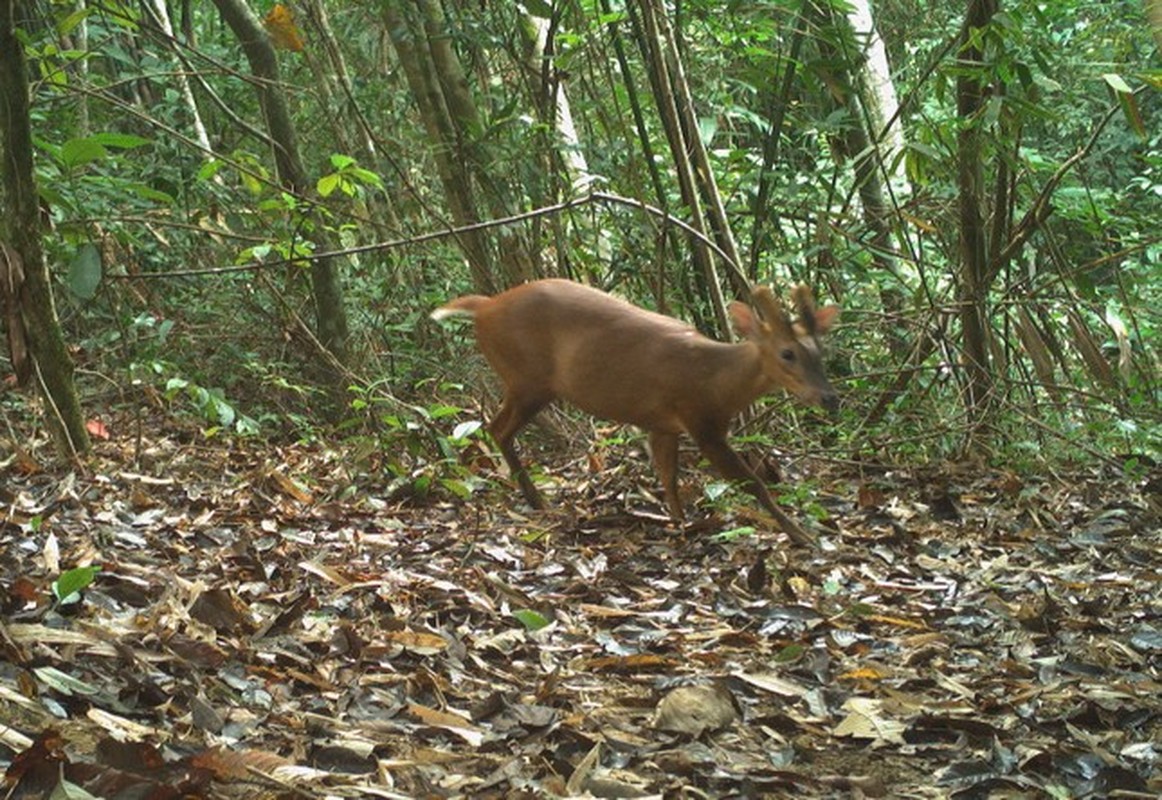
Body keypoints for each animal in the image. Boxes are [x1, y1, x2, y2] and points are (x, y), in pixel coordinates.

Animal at [432, 276, 841, 544]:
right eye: (788, 353)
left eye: (821, 352)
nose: (829, 398)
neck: (716, 380)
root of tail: (484, 308)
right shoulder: (702, 423)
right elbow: (753, 482)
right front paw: (801, 535)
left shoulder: (664, 425)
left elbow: (668, 477)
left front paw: (680, 522)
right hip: (527, 378)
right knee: (497, 428)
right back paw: (537, 500)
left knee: (496, 428)